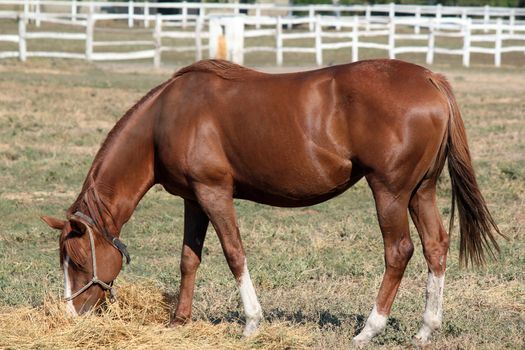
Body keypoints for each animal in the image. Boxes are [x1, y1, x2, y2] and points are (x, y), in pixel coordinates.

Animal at [41, 58, 500, 346]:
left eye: (78, 261)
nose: (71, 317)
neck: (166, 118)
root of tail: (429, 78)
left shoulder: (214, 193)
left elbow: (234, 253)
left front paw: (251, 322)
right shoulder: (194, 199)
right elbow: (190, 259)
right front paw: (179, 321)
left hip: (389, 191)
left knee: (399, 251)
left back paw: (369, 330)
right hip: (421, 191)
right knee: (435, 246)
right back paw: (426, 329)